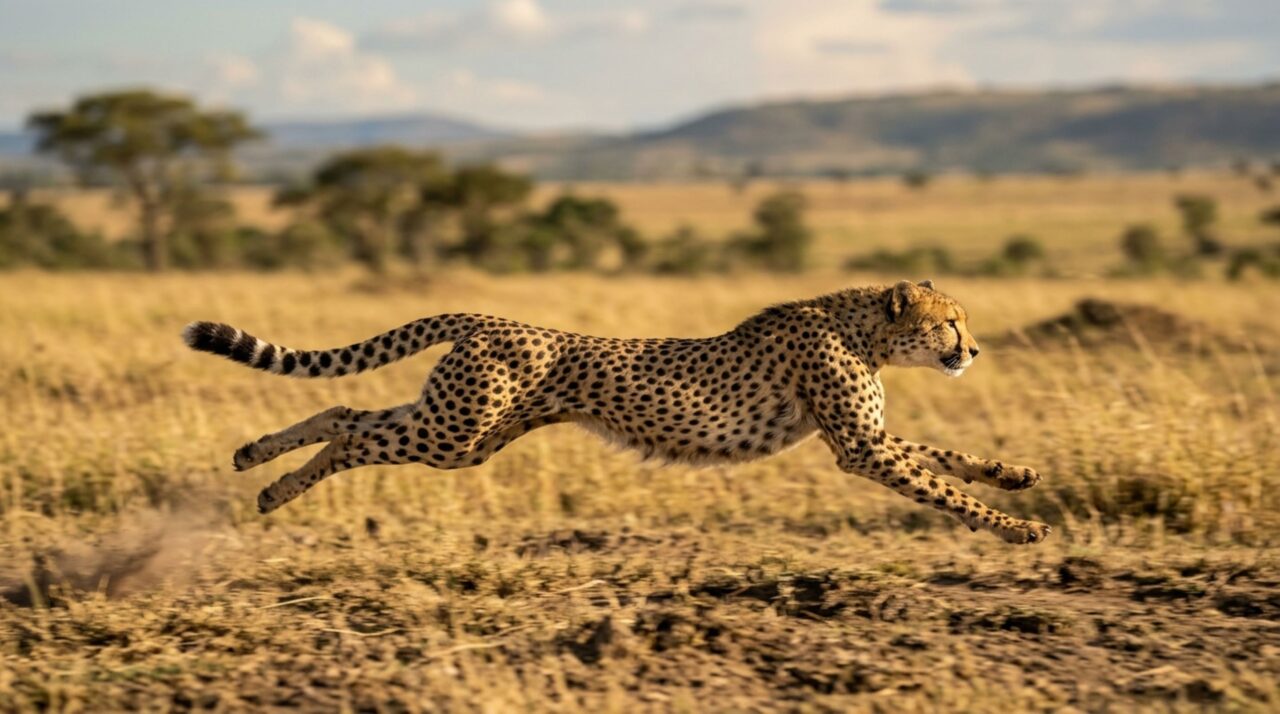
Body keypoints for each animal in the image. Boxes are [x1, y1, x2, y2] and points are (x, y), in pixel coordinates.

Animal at [182, 279, 1050, 544]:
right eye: (950, 322)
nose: (973, 351)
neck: (863, 324)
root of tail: (491, 317)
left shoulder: (864, 435)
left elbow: (944, 457)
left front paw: (1013, 474)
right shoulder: (859, 446)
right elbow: (939, 484)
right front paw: (1014, 528)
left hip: (467, 430)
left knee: (343, 410)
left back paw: (261, 472)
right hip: (454, 431)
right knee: (350, 425)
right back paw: (268, 481)